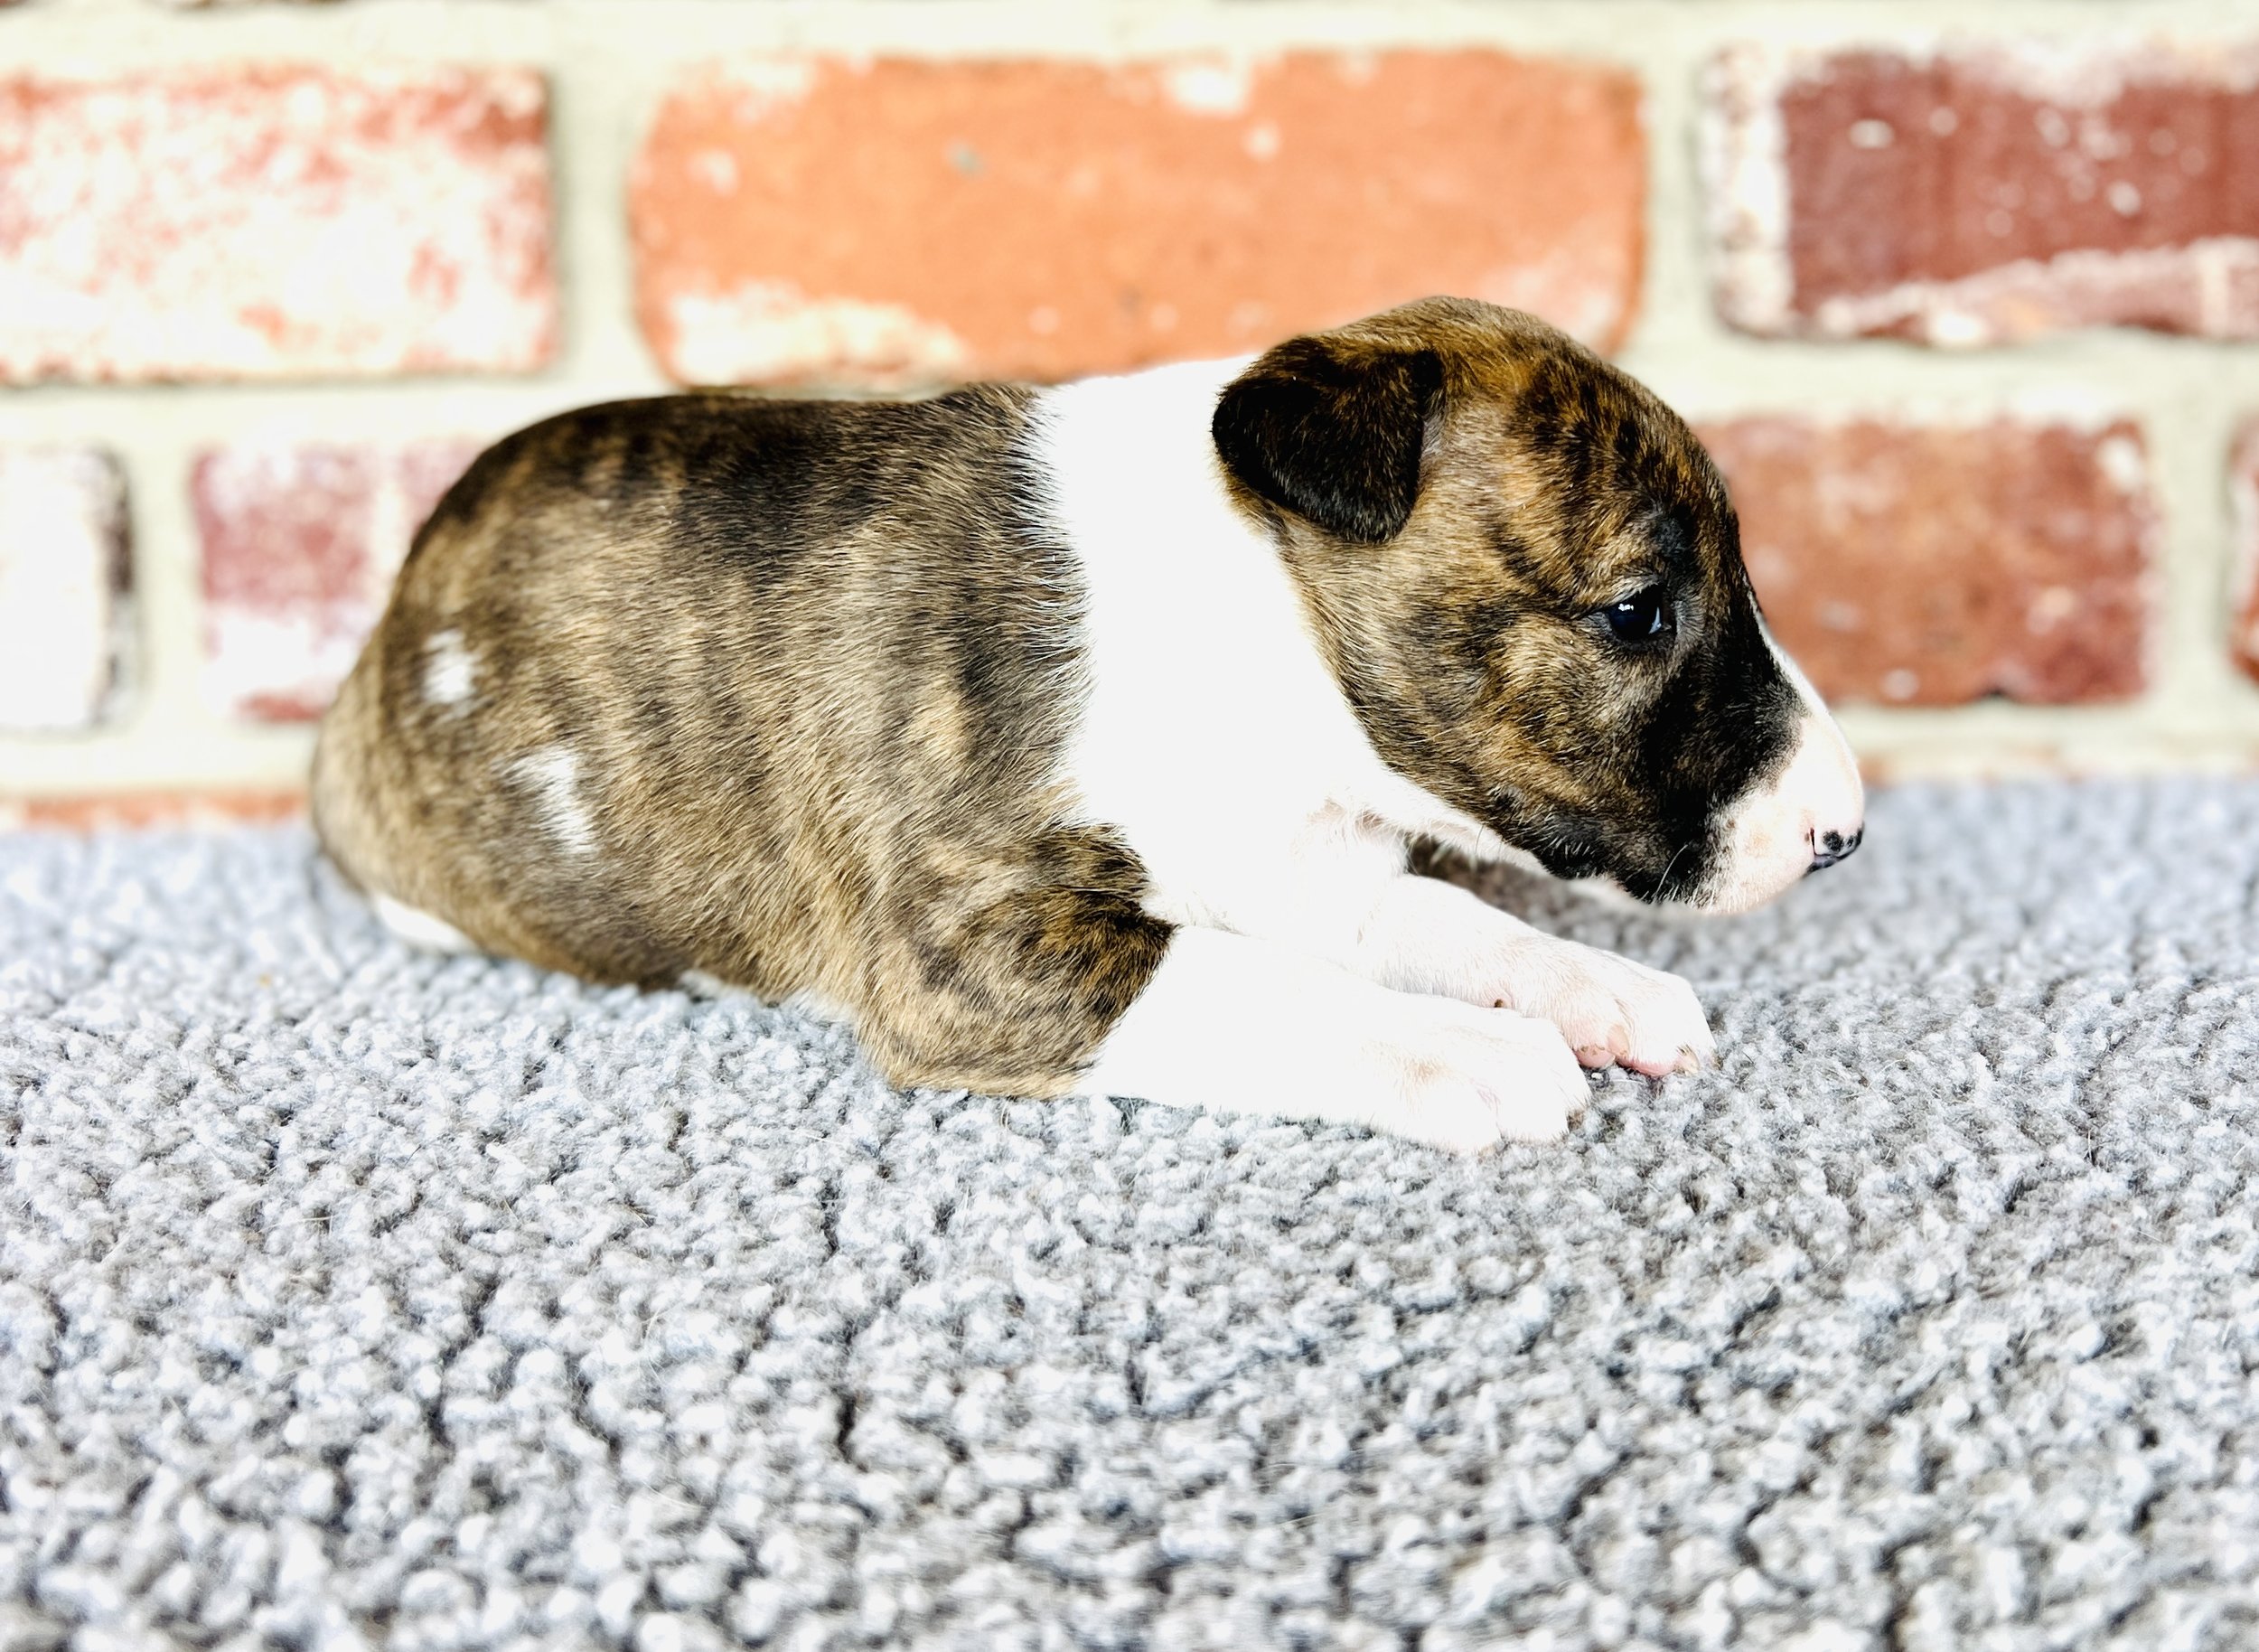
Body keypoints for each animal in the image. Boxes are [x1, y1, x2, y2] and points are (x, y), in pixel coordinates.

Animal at [323, 298, 1870, 1148]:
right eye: (1638, 613)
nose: (1844, 833)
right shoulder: (969, 958)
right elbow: (1260, 983)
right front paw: (1468, 1054)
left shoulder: (1319, 874)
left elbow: (1453, 920)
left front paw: (1593, 989)